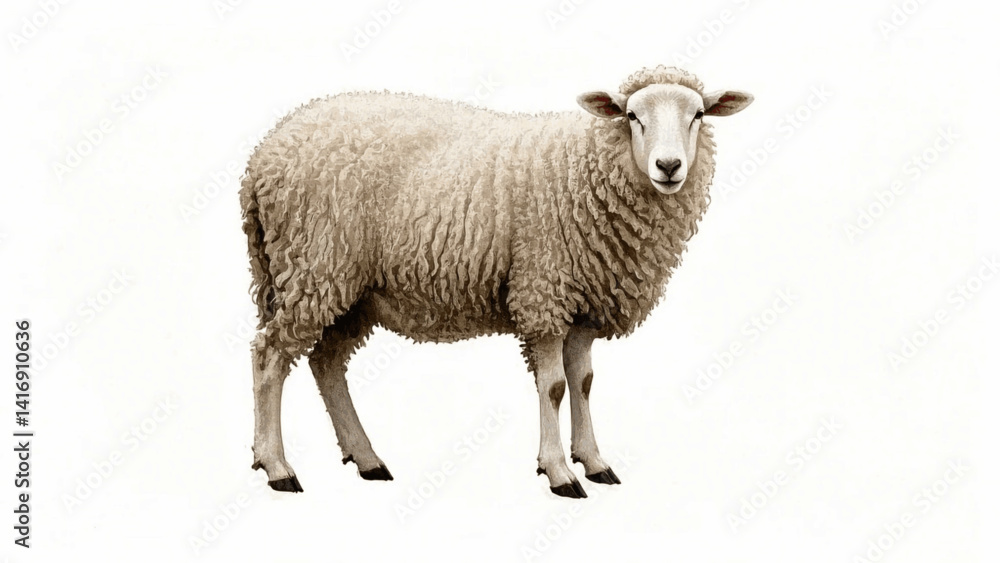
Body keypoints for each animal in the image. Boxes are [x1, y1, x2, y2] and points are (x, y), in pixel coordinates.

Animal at [240, 65, 752, 498]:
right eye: (632, 116)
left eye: (698, 114)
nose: (669, 166)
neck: (587, 167)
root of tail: (264, 154)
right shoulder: (543, 291)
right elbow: (554, 387)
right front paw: (559, 471)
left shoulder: (584, 302)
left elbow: (584, 382)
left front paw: (593, 460)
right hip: (314, 262)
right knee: (269, 357)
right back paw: (277, 466)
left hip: (350, 289)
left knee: (326, 363)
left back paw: (366, 458)